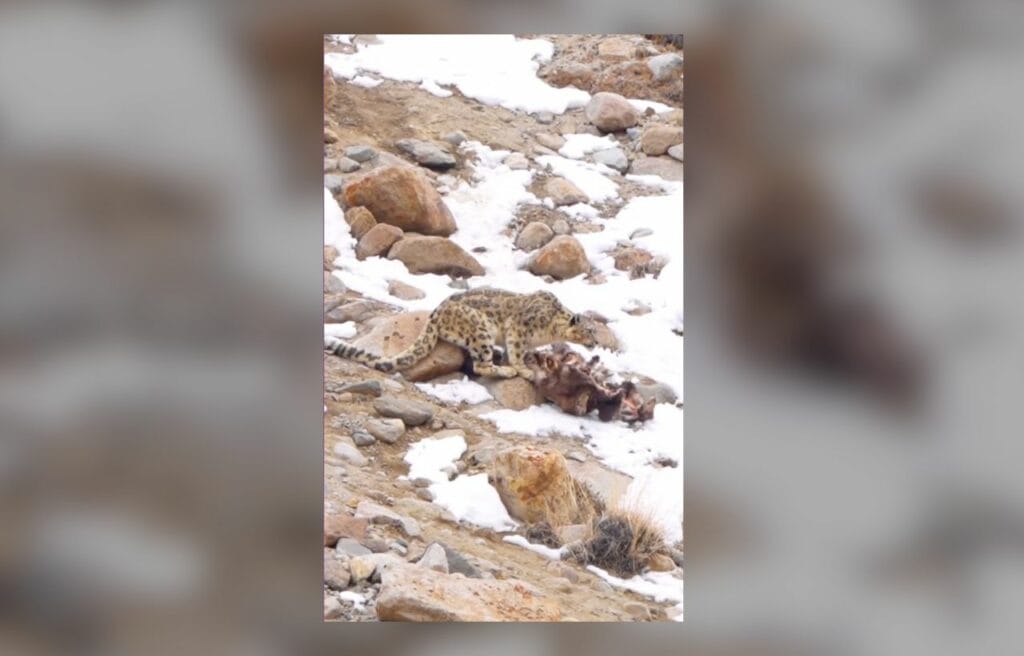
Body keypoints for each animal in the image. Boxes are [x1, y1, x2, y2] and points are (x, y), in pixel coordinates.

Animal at [324, 288, 598, 379]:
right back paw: (504, 370)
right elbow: (517, 351)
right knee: (480, 365)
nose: (596, 342)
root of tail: (437, 312)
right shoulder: (519, 329)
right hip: (481, 330)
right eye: (590, 330)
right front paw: (523, 369)